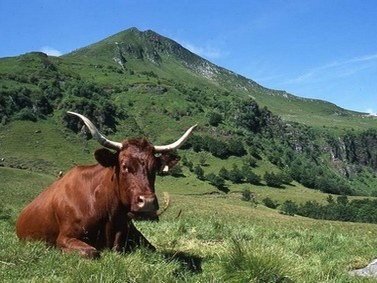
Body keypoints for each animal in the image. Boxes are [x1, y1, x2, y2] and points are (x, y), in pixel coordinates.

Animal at [15, 112, 197, 258]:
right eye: (124, 166)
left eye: (154, 168)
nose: (147, 202)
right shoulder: (65, 237)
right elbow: (91, 252)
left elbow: (150, 249)